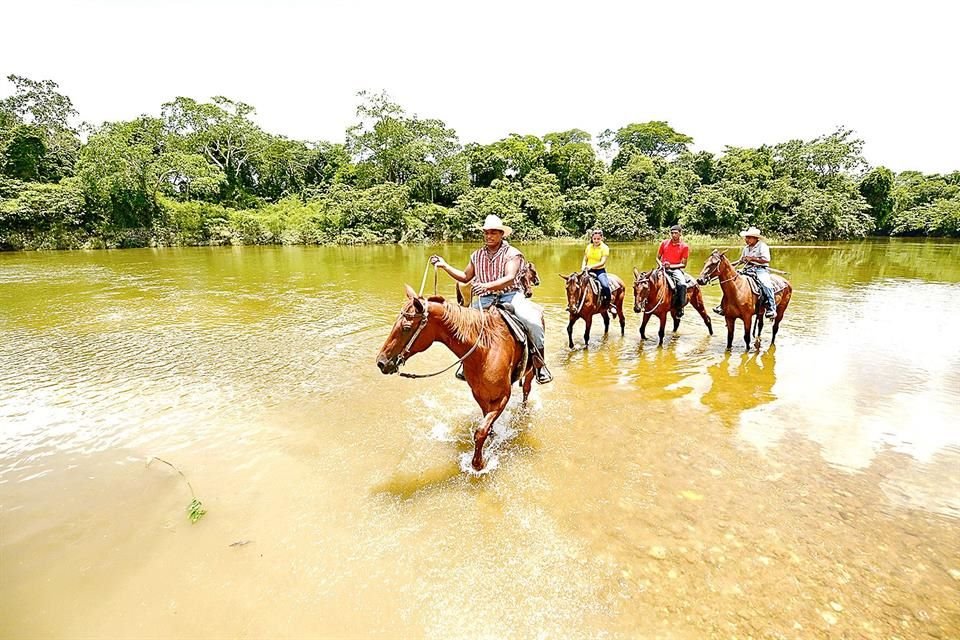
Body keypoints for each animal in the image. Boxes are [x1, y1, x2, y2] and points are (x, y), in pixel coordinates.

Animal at [376, 284, 540, 470]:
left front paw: (478, 464)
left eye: (406, 327)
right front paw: (490, 438)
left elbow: (480, 431)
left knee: (526, 390)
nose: (381, 362)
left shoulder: (503, 396)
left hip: (531, 371)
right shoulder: (479, 395)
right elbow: (486, 425)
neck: (485, 350)